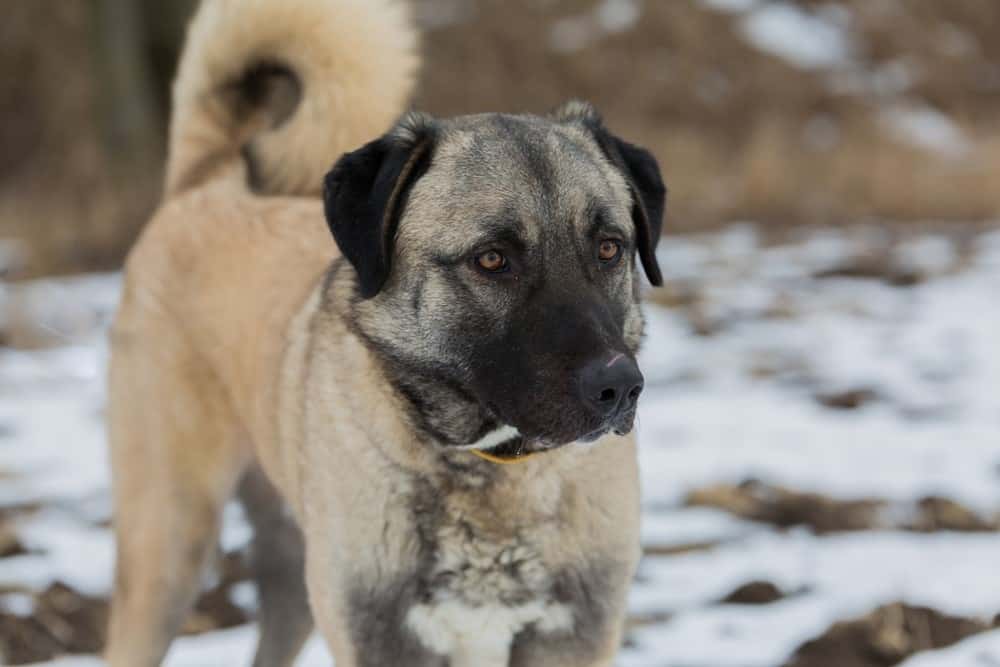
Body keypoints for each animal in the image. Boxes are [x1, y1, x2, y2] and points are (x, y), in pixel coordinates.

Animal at [105, 1, 668, 667]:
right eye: (492, 259)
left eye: (609, 248)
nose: (619, 388)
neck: (490, 470)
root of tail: (206, 184)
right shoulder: (378, 637)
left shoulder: (575, 635)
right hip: (167, 550)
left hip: (290, 575)